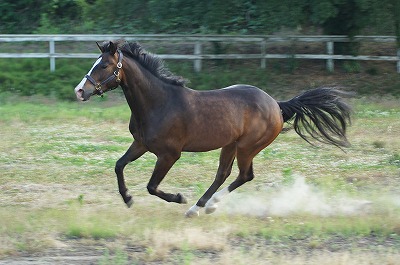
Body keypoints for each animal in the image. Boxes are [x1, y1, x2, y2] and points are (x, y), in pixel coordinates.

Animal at [74, 39, 350, 217]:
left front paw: (178, 197)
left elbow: (152, 186)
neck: (158, 103)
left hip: (247, 147)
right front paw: (128, 199)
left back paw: (199, 207)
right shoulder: (141, 144)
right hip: (230, 145)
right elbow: (119, 165)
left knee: (243, 175)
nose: (79, 91)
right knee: (224, 174)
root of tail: (277, 105)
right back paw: (203, 206)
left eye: (104, 66)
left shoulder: (169, 154)